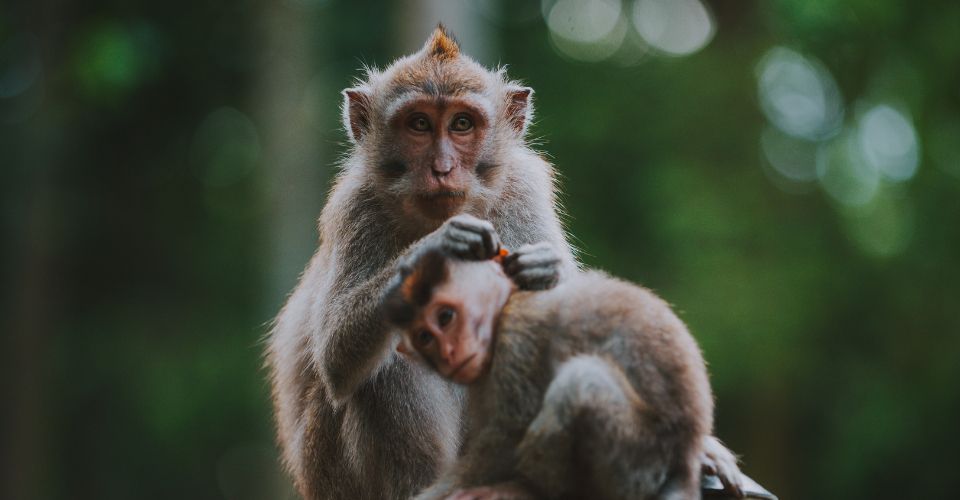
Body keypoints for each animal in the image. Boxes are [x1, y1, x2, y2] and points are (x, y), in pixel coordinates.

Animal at [382, 247, 720, 500]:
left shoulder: (517, 344)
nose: (448, 353)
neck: (506, 306)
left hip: (640, 461)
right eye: (425, 337)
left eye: (446, 316)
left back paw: (530, 489)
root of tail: (686, 456)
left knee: (579, 383)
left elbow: (506, 438)